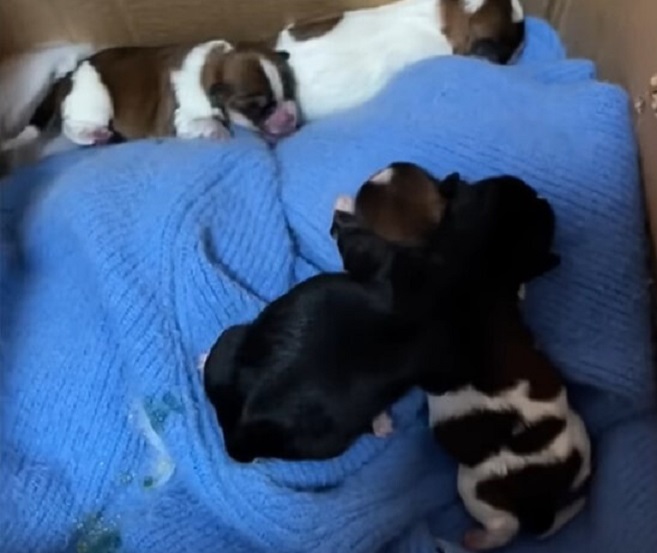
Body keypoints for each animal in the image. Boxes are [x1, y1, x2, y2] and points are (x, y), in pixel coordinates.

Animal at [28, 41, 298, 146]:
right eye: (258, 107)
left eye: (290, 91)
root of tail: (68, 75)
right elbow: (205, 122)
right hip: (94, 102)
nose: (290, 116)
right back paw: (97, 135)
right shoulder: (180, 119)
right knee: (71, 127)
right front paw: (219, 131)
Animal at [340, 162, 592, 548]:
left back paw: (475, 540)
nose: (542, 197)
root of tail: (542, 502)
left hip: (474, 485)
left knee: (506, 527)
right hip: (580, 439)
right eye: (489, 187)